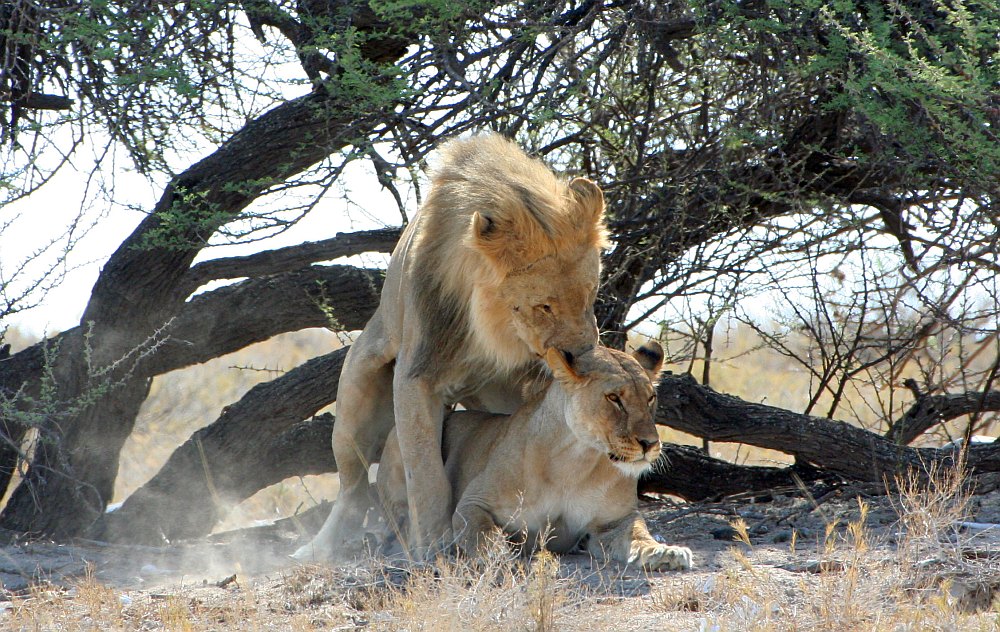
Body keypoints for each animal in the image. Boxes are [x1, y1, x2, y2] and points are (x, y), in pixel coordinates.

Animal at [294, 133, 608, 556]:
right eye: (544, 306)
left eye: (590, 292)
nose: (582, 356)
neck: (494, 330)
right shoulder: (418, 371)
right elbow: (424, 470)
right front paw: (432, 543)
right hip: (356, 397)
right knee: (353, 486)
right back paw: (321, 547)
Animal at [376, 344, 696, 572]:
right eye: (614, 398)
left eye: (650, 398)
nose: (650, 443)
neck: (575, 461)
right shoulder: (473, 503)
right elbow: (482, 532)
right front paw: (498, 555)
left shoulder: (614, 521)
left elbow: (639, 534)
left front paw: (664, 552)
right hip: (404, 441)